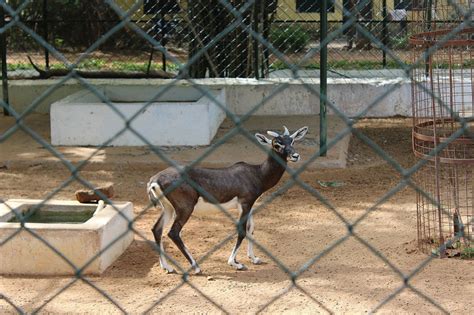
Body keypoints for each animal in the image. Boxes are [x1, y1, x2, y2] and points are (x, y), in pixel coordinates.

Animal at [150, 126, 310, 274]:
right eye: (277, 144)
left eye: (292, 140)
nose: (295, 156)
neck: (257, 173)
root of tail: (155, 180)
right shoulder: (245, 203)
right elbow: (242, 230)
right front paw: (235, 263)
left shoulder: (248, 205)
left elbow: (251, 228)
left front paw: (254, 258)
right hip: (185, 209)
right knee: (173, 233)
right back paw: (196, 267)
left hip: (168, 208)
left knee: (157, 229)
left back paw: (167, 267)